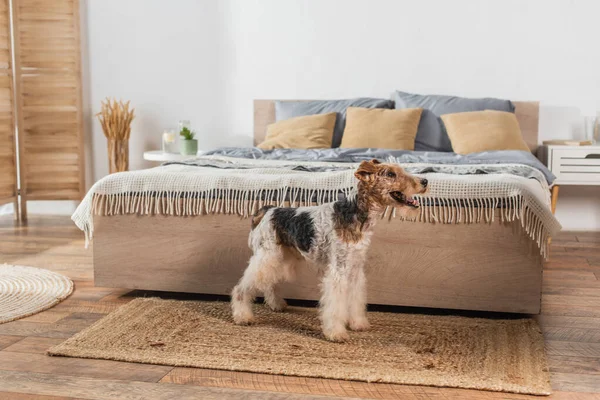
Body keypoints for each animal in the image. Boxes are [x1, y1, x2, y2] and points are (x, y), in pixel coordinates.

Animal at [230, 159, 426, 340]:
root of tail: (268, 210)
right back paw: (243, 316)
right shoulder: (338, 270)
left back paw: (276, 304)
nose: (424, 182)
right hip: (267, 256)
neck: (356, 216)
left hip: (279, 257)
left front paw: (358, 323)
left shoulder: (355, 268)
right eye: (391, 174)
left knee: (268, 283)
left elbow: (355, 299)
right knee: (241, 288)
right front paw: (336, 333)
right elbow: (335, 305)